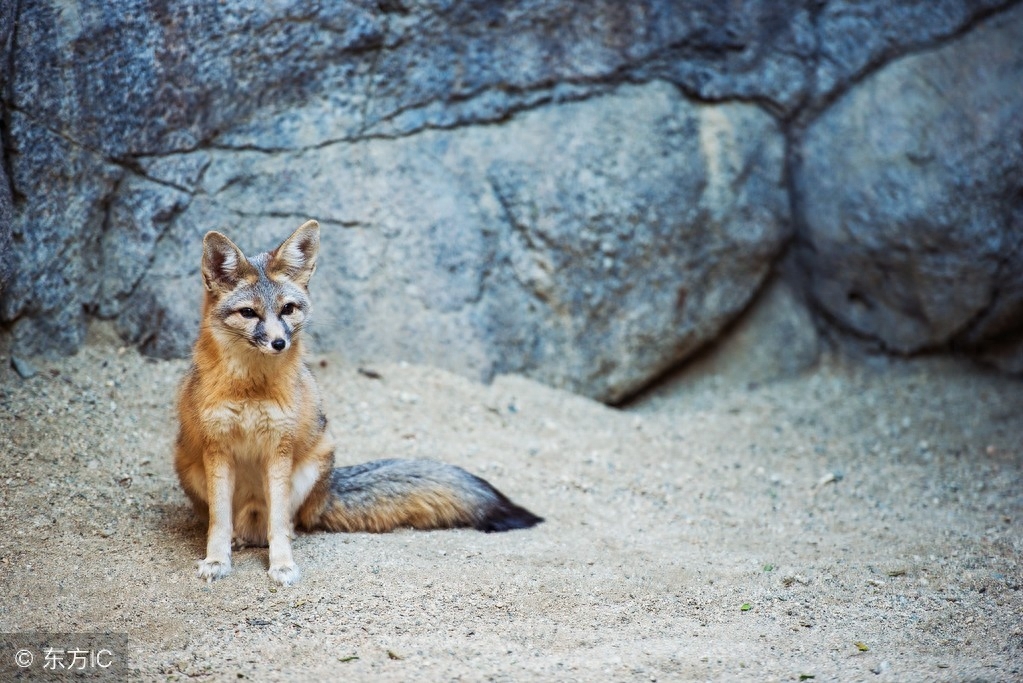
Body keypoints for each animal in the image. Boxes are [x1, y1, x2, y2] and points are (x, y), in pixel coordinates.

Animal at [173, 219, 544, 588]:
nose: (279, 343)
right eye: (249, 313)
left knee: (286, 524)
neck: (251, 388)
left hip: (311, 465)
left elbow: (277, 523)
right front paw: (216, 561)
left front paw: (282, 564)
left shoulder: (279, 449)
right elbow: (219, 522)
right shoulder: (217, 449)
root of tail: (328, 491)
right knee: (233, 524)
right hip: (190, 466)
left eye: (287, 309)